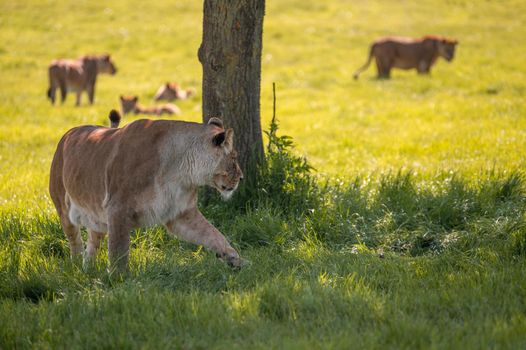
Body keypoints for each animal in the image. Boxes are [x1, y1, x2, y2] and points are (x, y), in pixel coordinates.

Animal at [49, 110, 248, 274]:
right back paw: (75, 267)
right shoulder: (117, 208)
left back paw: (88, 269)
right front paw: (119, 280)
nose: (241, 178)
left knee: (93, 242)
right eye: (233, 158)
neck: (179, 170)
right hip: (63, 207)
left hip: (97, 216)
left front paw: (234, 258)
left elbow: (213, 234)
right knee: (74, 240)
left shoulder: (181, 214)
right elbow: (119, 249)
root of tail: (70, 132)